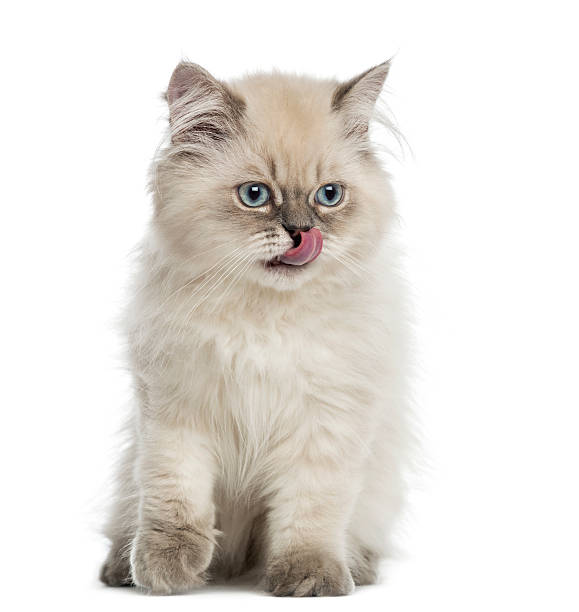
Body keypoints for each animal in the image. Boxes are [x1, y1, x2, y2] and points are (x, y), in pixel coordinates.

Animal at [99, 59, 412, 596]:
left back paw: (359, 569)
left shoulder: (327, 422)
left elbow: (311, 513)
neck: (266, 318)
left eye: (329, 196)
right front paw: (166, 572)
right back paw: (123, 569)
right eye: (255, 196)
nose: (302, 233)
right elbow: (174, 499)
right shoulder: (176, 411)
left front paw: (310, 579)